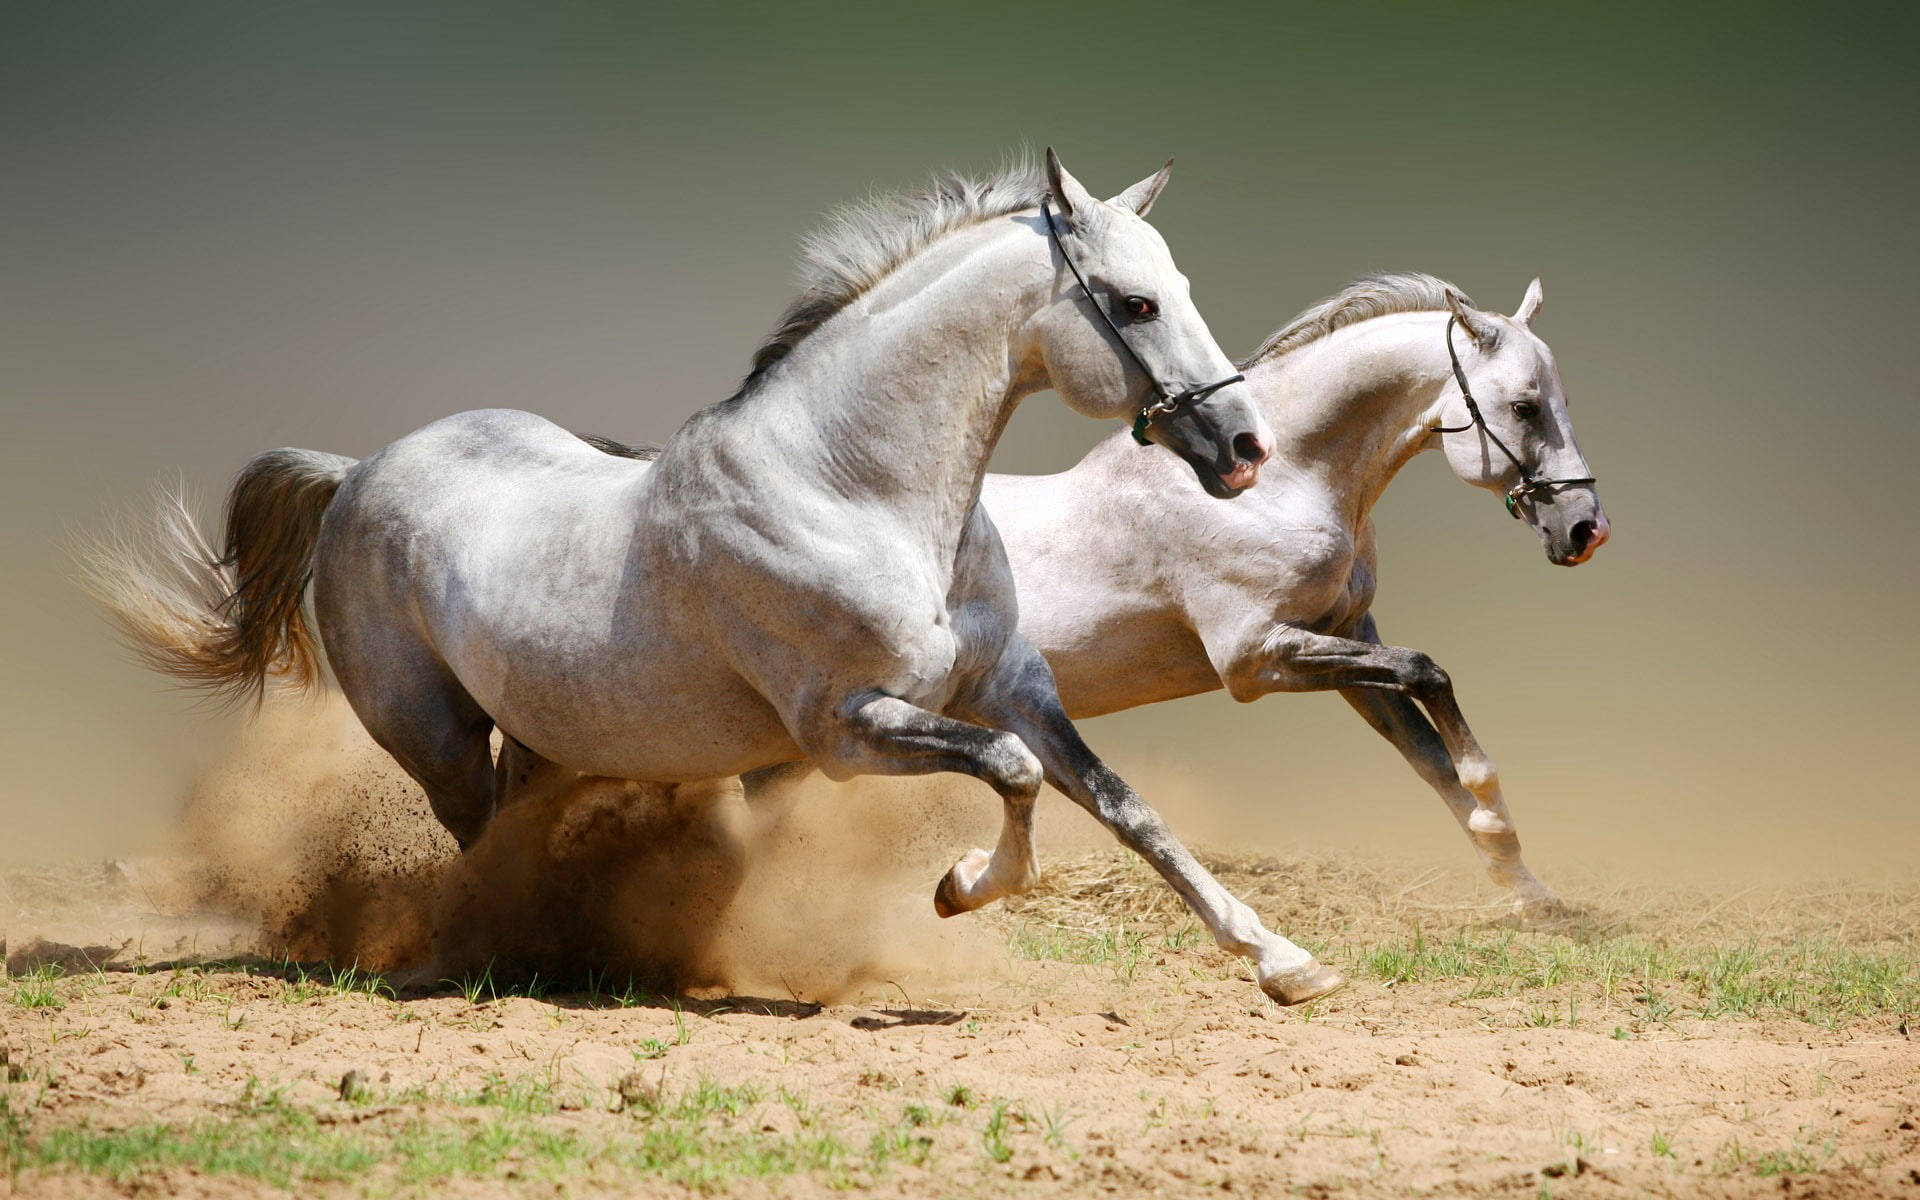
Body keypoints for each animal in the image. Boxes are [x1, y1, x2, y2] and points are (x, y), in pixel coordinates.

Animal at [86, 154, 1351, 1006]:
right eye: (1134, 302)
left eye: (1177, 283)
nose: (1244, 448)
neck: (855, 489)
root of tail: (355, 473)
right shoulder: (846, 729)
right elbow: (1014, 776)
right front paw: (958, 886)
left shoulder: (1012, 686)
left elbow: (1124, 806)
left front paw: (1286, 963)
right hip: (433, 736)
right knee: (478, 842)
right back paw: (494, 952)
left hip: (544, 733)